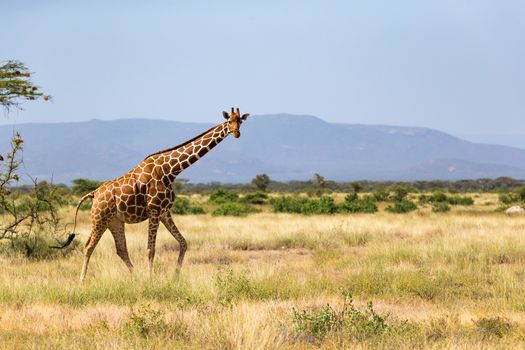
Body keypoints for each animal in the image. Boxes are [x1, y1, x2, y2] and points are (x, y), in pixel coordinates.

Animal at [66, 108, 250, 284]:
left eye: (240, 121)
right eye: (229, 120)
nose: (236, 133)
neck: (170, 170)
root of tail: (94, 193)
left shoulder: (164, 212)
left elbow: (183, 243)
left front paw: (175, 278)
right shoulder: (154, 210)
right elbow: (151, 249)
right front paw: (151, 281)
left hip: (115, 221)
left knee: (121, 249)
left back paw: (137, 279)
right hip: (99, 219)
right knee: (88, 246)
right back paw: (82, 282)